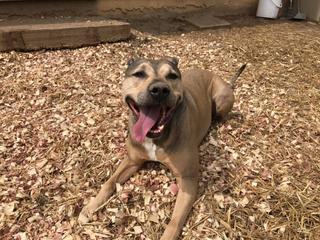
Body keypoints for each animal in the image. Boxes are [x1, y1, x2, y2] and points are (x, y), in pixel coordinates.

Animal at [79, 57, 246, 239]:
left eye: (172, 76)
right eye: (139, 74)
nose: (159, 90)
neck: (156, 137)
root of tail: (222, 80)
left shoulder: (187, 179)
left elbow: (175, 221)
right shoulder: (132, 161)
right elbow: (109, 183)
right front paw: (90, 207)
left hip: (221, 101)